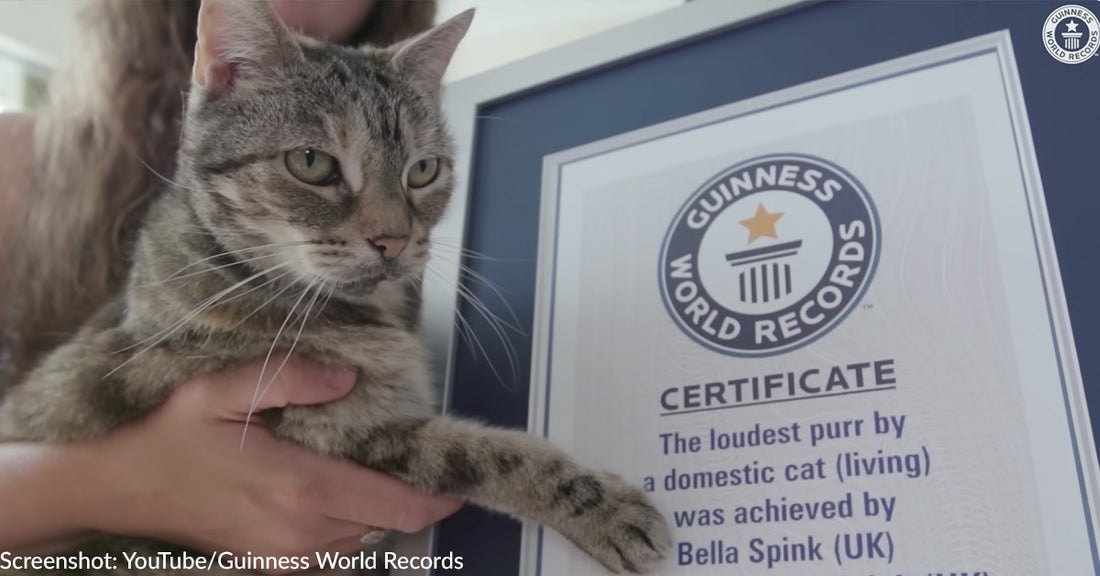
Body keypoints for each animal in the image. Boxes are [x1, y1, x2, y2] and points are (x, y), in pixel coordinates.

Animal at [0, 0, 668, 571]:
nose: (394, 240)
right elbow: (483, 452)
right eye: (312, 163)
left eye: (423, 171)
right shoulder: (328, 433)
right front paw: (602, 508)